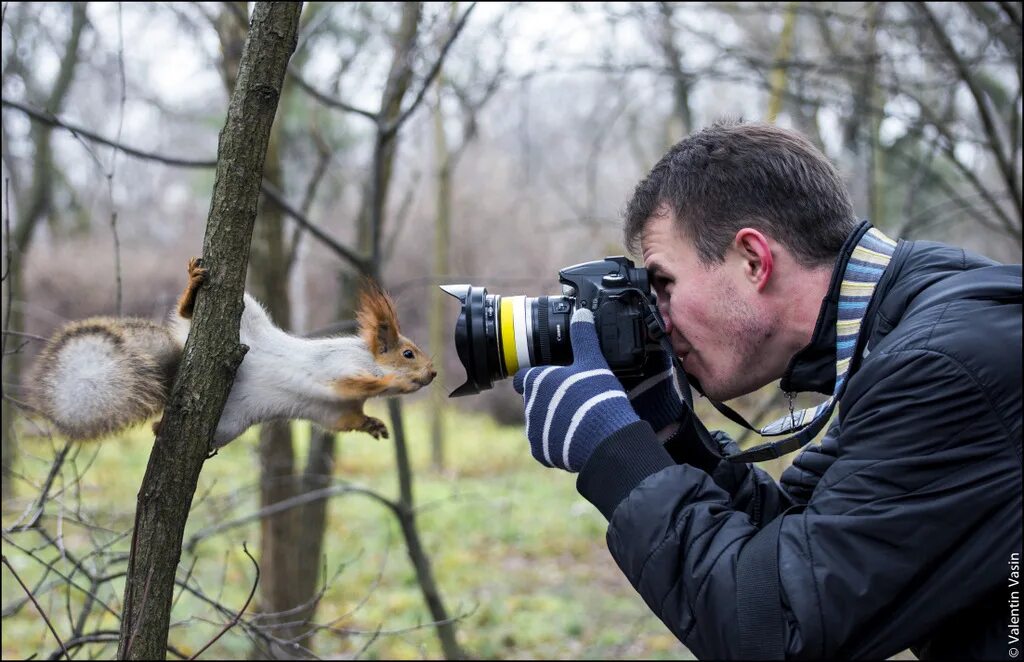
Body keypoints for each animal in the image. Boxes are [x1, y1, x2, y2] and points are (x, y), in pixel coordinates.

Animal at [28, 259, 436, 450]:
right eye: (408, 353)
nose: (432, 374)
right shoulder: (338, 367)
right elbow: (348, 380)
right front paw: (391, 381)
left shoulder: (337, 411)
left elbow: (348, 419)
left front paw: (374, 424)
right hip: (243, 311)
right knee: (186, 312)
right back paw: (193, 288)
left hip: (227, 427)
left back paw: (161, 427)